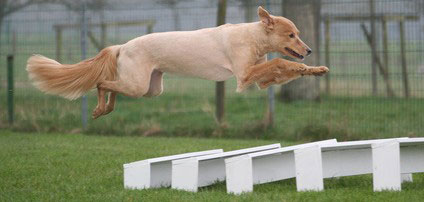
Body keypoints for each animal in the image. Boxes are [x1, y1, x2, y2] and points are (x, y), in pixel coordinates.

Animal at [26, 7, 330, 119]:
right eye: (291, 35)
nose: (309, 50)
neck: (253, 37)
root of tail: (122, 46)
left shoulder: (260, 80)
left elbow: (287, 67)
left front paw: (315, 70)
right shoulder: (244, 77)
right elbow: (281, 60)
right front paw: (308, 67)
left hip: (150, 89)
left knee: (111, 85)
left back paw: (106, 109)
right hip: (138, 85)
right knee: (102, 83)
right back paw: (101, 108)